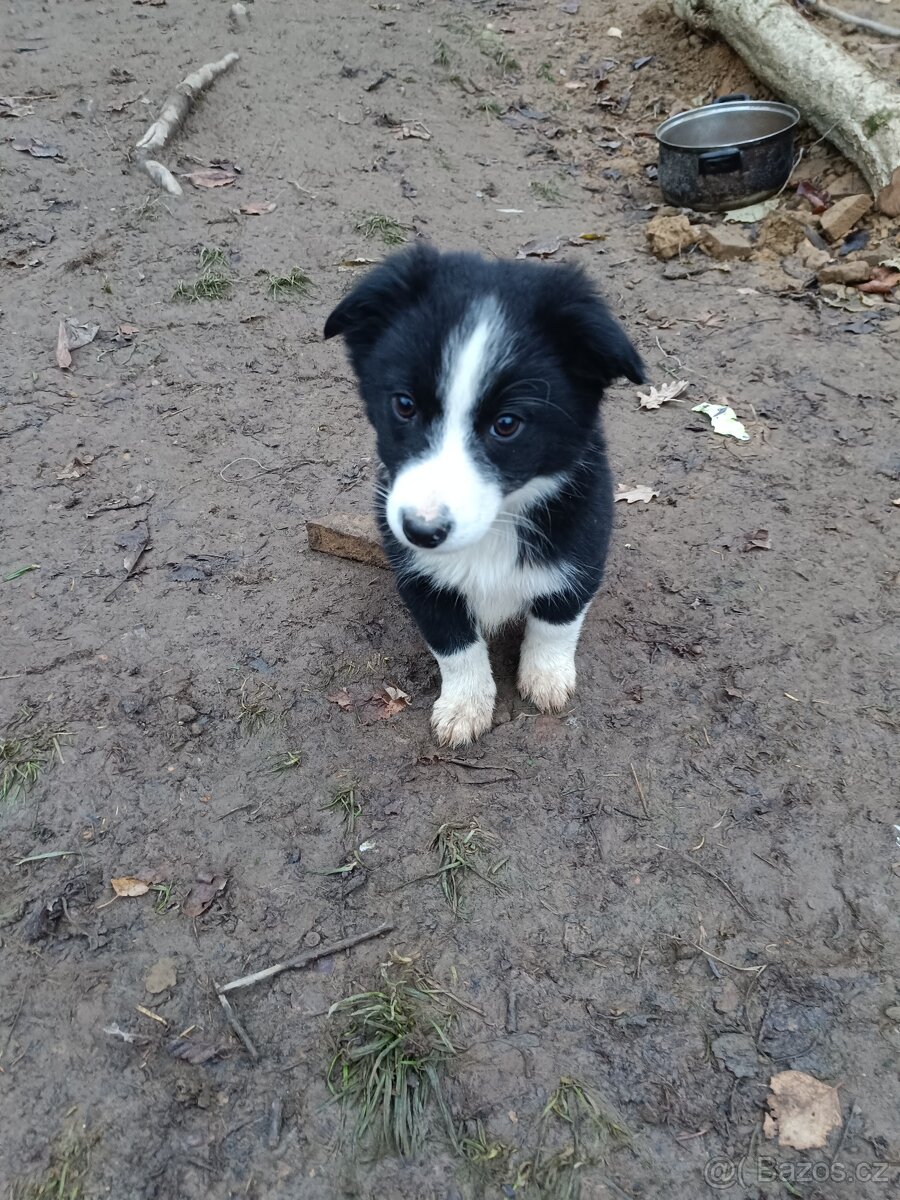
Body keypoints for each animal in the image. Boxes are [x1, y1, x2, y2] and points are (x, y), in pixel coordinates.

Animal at [324, 244, 643, 744]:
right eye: (404, 404)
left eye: (507, 424)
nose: (421, 531)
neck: (497, 526)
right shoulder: (421, 579)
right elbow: (455, 645)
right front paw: (464, 707)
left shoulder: (582, 545)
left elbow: (557, 619)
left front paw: (546, 678)